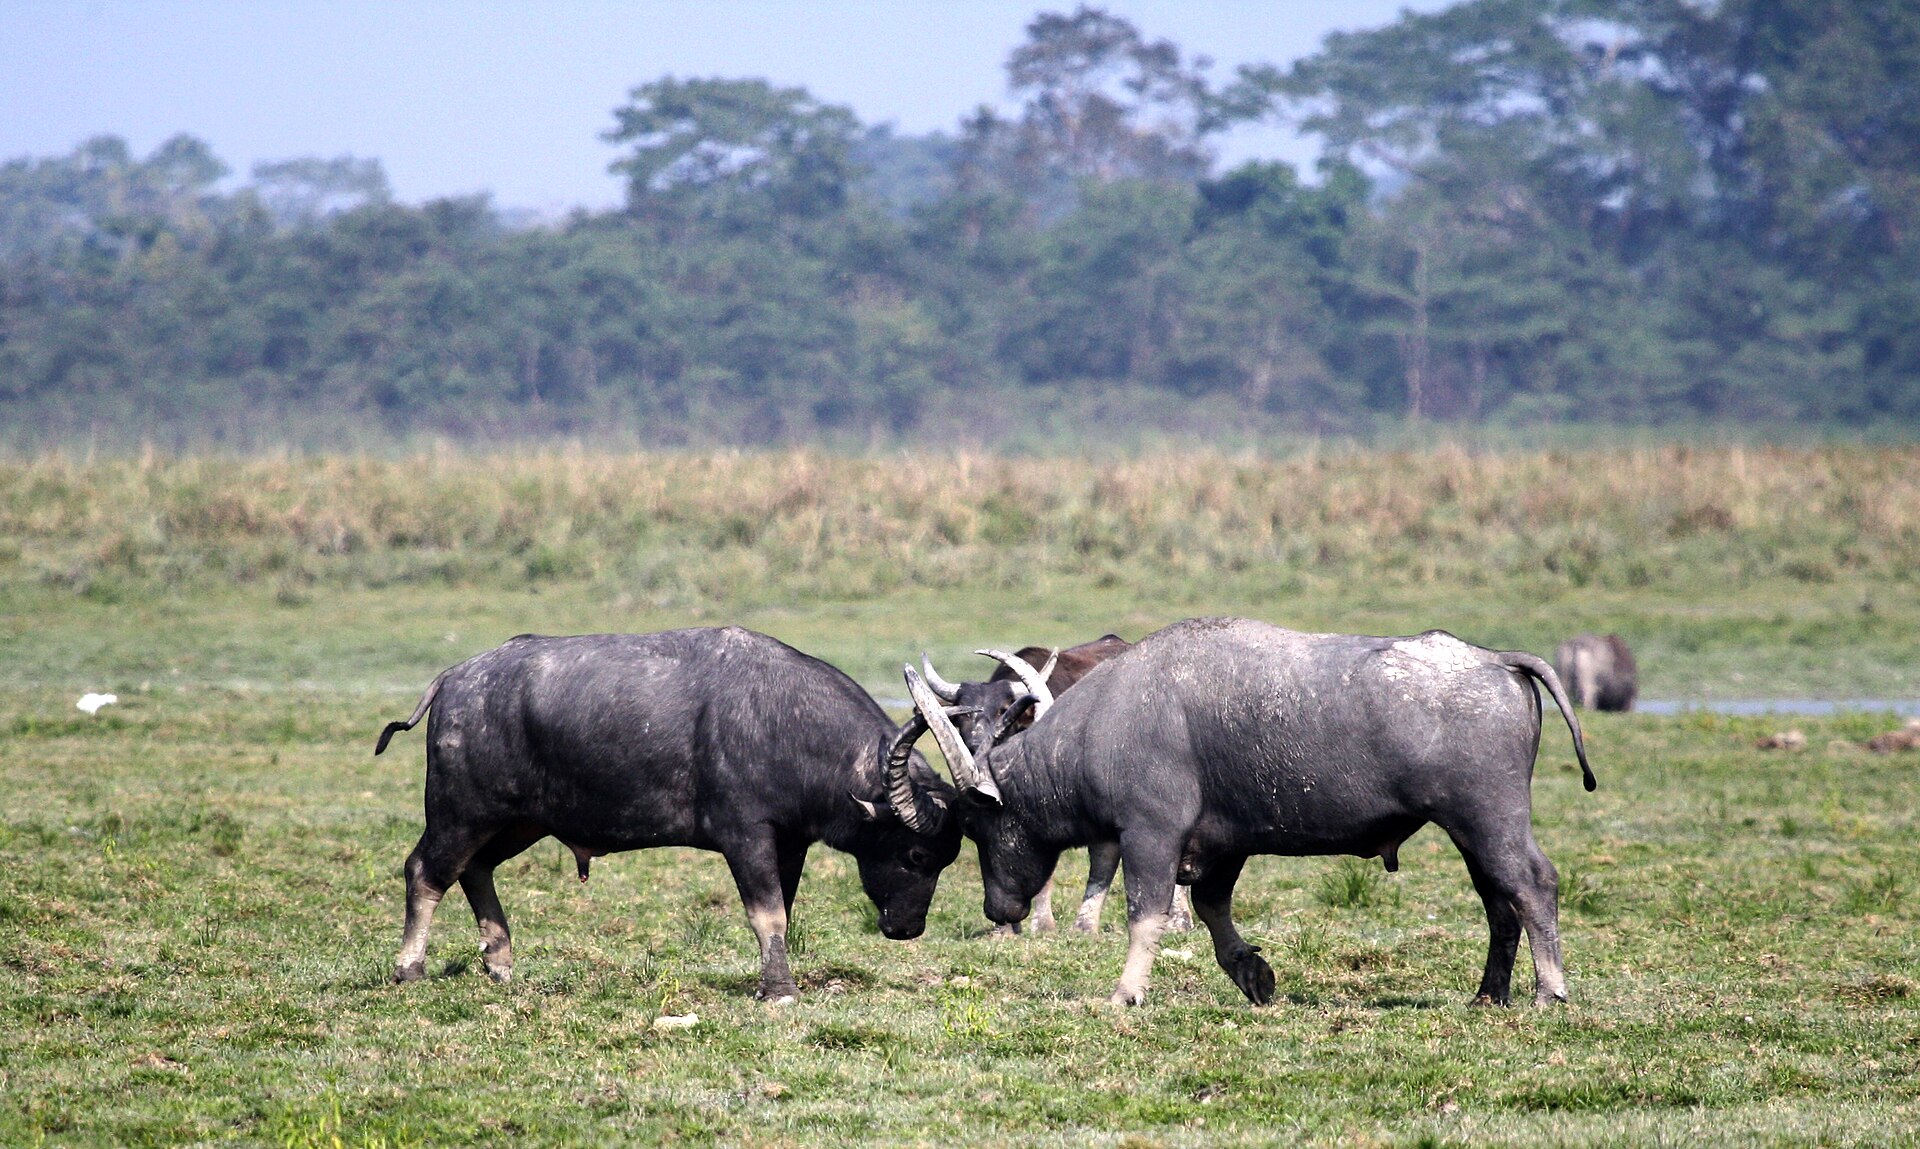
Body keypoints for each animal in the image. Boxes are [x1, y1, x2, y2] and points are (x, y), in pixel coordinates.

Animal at [375, 628, 962, 1002]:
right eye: (915, 854)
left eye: (945, 860)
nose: (908, 929)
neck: (783, 722)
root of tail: (455, 679)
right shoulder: (745, 838)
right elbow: (767, 915)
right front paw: (781, 992)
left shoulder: (789, 843)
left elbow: (784, 913)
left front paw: (768, 981)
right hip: (460, 813)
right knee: (426, 870)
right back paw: (410, 969)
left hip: (518, 823)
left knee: (475, 869)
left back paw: (499, 963)